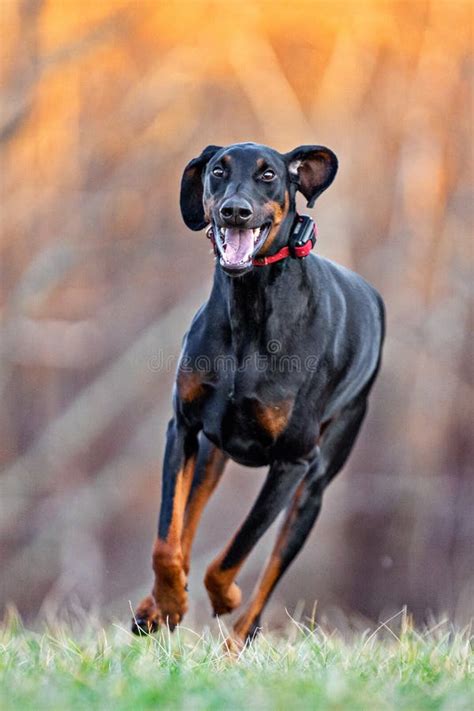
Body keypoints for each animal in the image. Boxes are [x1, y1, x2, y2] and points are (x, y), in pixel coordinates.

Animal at [131, 143, 384, 644]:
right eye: (217, 171)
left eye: (269, 175)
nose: (235, 210)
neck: (249, 304)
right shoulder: (183, 428)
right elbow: (167, 541)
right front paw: (168, 604)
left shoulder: (293, 461)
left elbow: (234, 551)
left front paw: (223, 596)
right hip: (212, 452)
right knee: (187, 522)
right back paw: (158, 607)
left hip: (314, 488)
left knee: (262, 592)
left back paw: (233, 640)